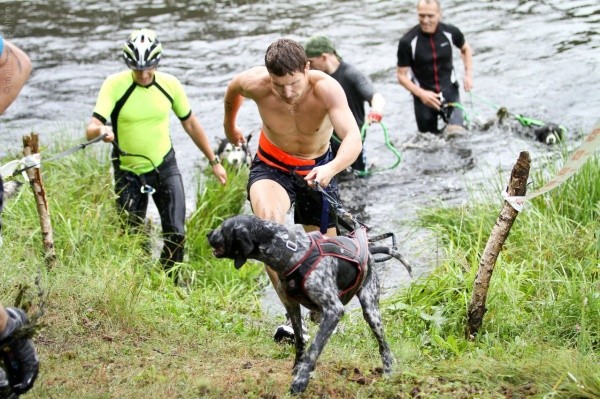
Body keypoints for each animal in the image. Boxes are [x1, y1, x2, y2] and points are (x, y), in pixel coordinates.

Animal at [207, 214, 412, 396]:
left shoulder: (333, 310)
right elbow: (300, 342)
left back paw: (388, 372)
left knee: (384, 347)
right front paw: (297, 368)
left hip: (370, 310)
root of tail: (368, 252)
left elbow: (313, 349)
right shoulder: (292, 306)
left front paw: (301, 380)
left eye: (223, 227)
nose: (208, 234)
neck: (291, 251)